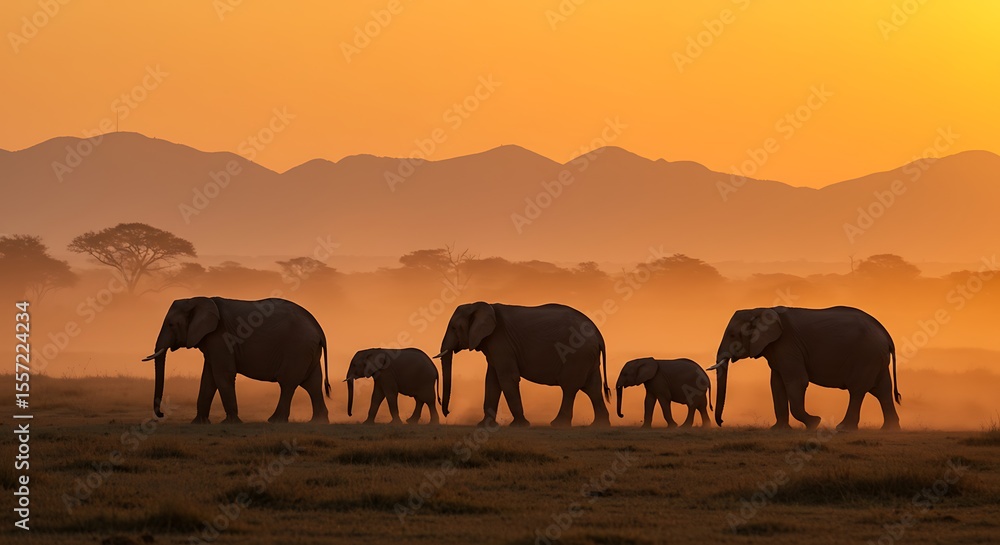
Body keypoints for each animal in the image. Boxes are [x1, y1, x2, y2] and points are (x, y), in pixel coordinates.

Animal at [141, 297, 331, 424]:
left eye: (171, 324)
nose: (161, 414)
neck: (197, 299)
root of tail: (318, 328)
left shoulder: (220, 337)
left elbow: (222, 375)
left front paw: (231, 422)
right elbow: (208, 379)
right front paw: (199, 423)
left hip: (297, 349)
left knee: (288, 383)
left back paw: (275, 420)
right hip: (308, 351)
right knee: (313, 384)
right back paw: (318, 422)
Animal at [434, 302, 610, 427]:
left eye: (454, 328)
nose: (447, 412)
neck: (481, 305)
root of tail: (597, 333)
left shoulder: (501, 341)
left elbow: (507, 378)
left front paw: (519, 425)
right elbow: (492, 381)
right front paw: (483, 425)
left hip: (578, 354)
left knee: (570, 387)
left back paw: (558, 424)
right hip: (588, 357)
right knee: (593, 388)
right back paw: (599, 425)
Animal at [709, 306, 900, 430]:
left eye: (733, 335)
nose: (722, 422)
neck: (759, 309)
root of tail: (886, 334)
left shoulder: (787, 345)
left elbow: (796, 382)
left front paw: (815, 422)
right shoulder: (776, 349)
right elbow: (776, 385)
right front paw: (778, 430)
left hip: (866, 356)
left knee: (858, 390)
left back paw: (844, 428)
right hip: (876, 358)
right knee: (883, 390)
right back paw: (889, 430)